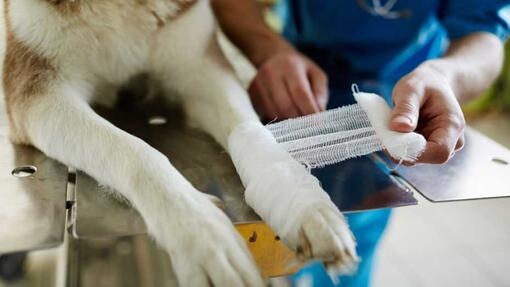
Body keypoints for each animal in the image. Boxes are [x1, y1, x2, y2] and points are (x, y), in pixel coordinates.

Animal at [0, 1, 358, 286]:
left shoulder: (200, 65)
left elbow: (248, 128)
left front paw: (304, 205)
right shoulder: (36, 90)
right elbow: (134, 151)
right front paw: (203, 234)